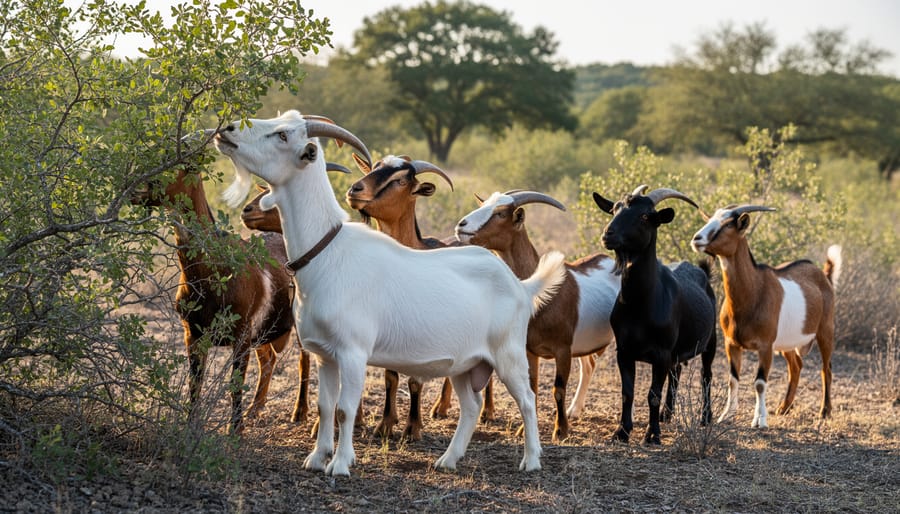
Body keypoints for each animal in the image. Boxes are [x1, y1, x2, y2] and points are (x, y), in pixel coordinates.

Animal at [132, 164, 301, 434]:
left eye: (182, 166)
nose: (136, 189)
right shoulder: (192, 333)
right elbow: (195, 383)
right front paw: (191, 426)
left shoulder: (241, 333)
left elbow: (235, 383)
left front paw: (235, 431)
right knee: (269, 359)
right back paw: (256, 410)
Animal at [213, 110, 567, 475]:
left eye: (283, 135)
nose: (227, 130)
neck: (327, 251)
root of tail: (520, 285)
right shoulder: (325, 355)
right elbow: (325, 406)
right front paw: (316, 458)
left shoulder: (353, 352)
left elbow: (344, 409)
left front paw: (340, 464)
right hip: (465, 363)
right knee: (471, 405)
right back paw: (447, 460)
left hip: (509, 354)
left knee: (527, 399)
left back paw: (531, 460)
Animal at [455, 190, 620, 441]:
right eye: (483, 205)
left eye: (501, 213)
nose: (461, 225)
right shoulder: (530, 350)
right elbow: (532, 387)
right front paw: (524, 430)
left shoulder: (563, 350)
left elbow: (558, 389)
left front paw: (560, 431)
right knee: (589, 364)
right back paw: (575, 410)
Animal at [593, 185, 717, 444]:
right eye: (615, 208)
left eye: (644, 216)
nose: (608, 234)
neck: (639, 305)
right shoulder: (624, 351)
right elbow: (627, 393)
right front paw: (622, 432)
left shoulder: (660, 353)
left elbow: (652, 394)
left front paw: (651, 435)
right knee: (676, 372)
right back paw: (666, 414)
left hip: (711, 340)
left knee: (706, 375)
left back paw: (705, 417)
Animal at [691, 205, 841, 427]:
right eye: (709, 219)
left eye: (727, 224)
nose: (697, 239)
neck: (754, 291)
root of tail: (824, 276)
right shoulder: (731, 344)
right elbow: (733, 379)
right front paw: (727, 415)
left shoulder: (765, 346)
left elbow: (760, 383)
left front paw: (759, 421)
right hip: (787, 343)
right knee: (796, 366)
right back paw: (784, 408)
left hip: (825, 331)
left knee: (826, 369)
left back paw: (825, 411)